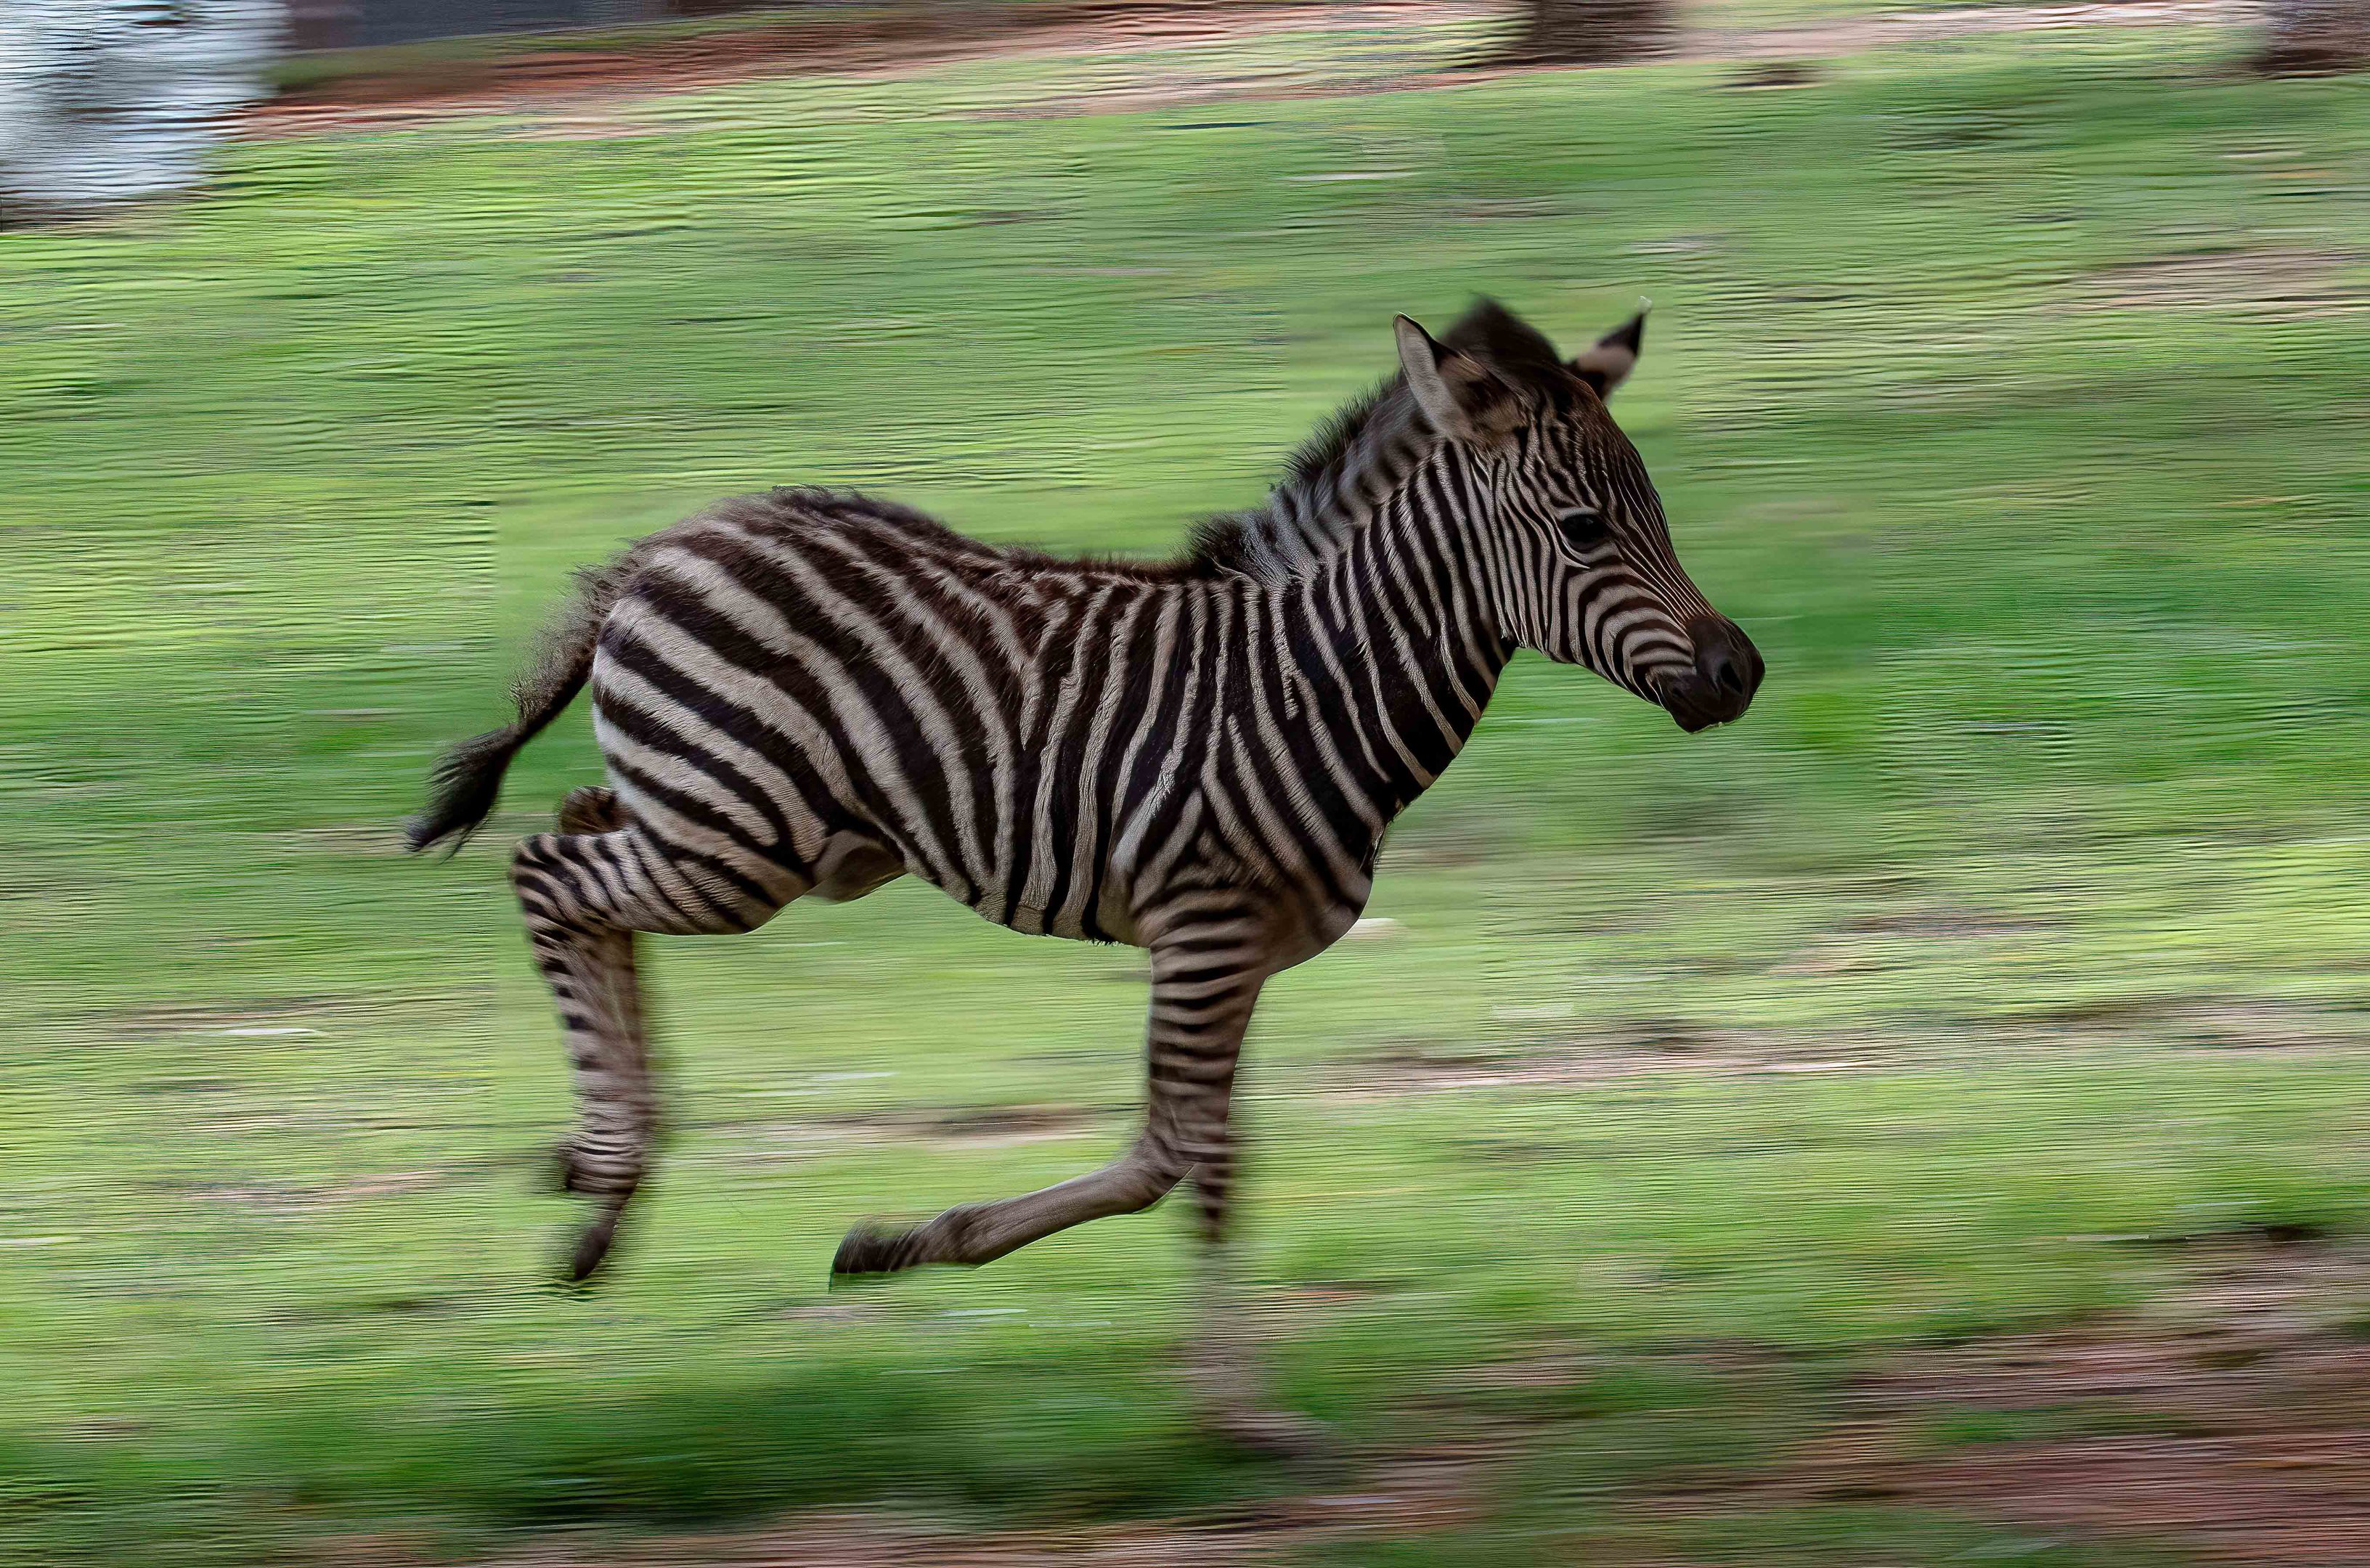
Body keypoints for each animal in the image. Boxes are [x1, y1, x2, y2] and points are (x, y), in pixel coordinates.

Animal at [410, 299, 1762, 1446]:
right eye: (1585, 530)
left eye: (1657, 512)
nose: (1740, 674)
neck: (1315, 686)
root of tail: (665, 544)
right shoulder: (1205, 928)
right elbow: (1175, 1156)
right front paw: (1220, 1410)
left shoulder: (1241, 952)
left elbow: (1216, 1159)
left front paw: (1211, 1394)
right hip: (734, 843)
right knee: (545, 870)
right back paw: (608, 1173)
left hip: (734, 826)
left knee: (582, 836)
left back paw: (606, 1180)